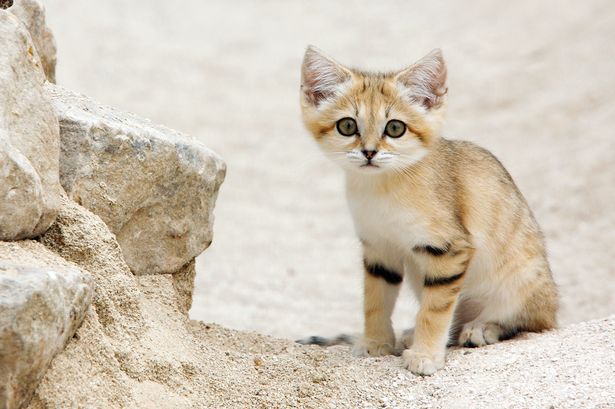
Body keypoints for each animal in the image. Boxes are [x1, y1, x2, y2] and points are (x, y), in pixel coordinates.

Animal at [300, 46, 560, 374]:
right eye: (347, 126)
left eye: (395, 128)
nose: (369, 152)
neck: (381, 189)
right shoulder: (379, 250)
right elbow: (375, 301)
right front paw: (376, 343)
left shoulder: (449, 250)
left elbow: (434, 311)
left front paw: (425, 356)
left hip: (522, 282)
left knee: (529, 322)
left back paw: (483, 327)